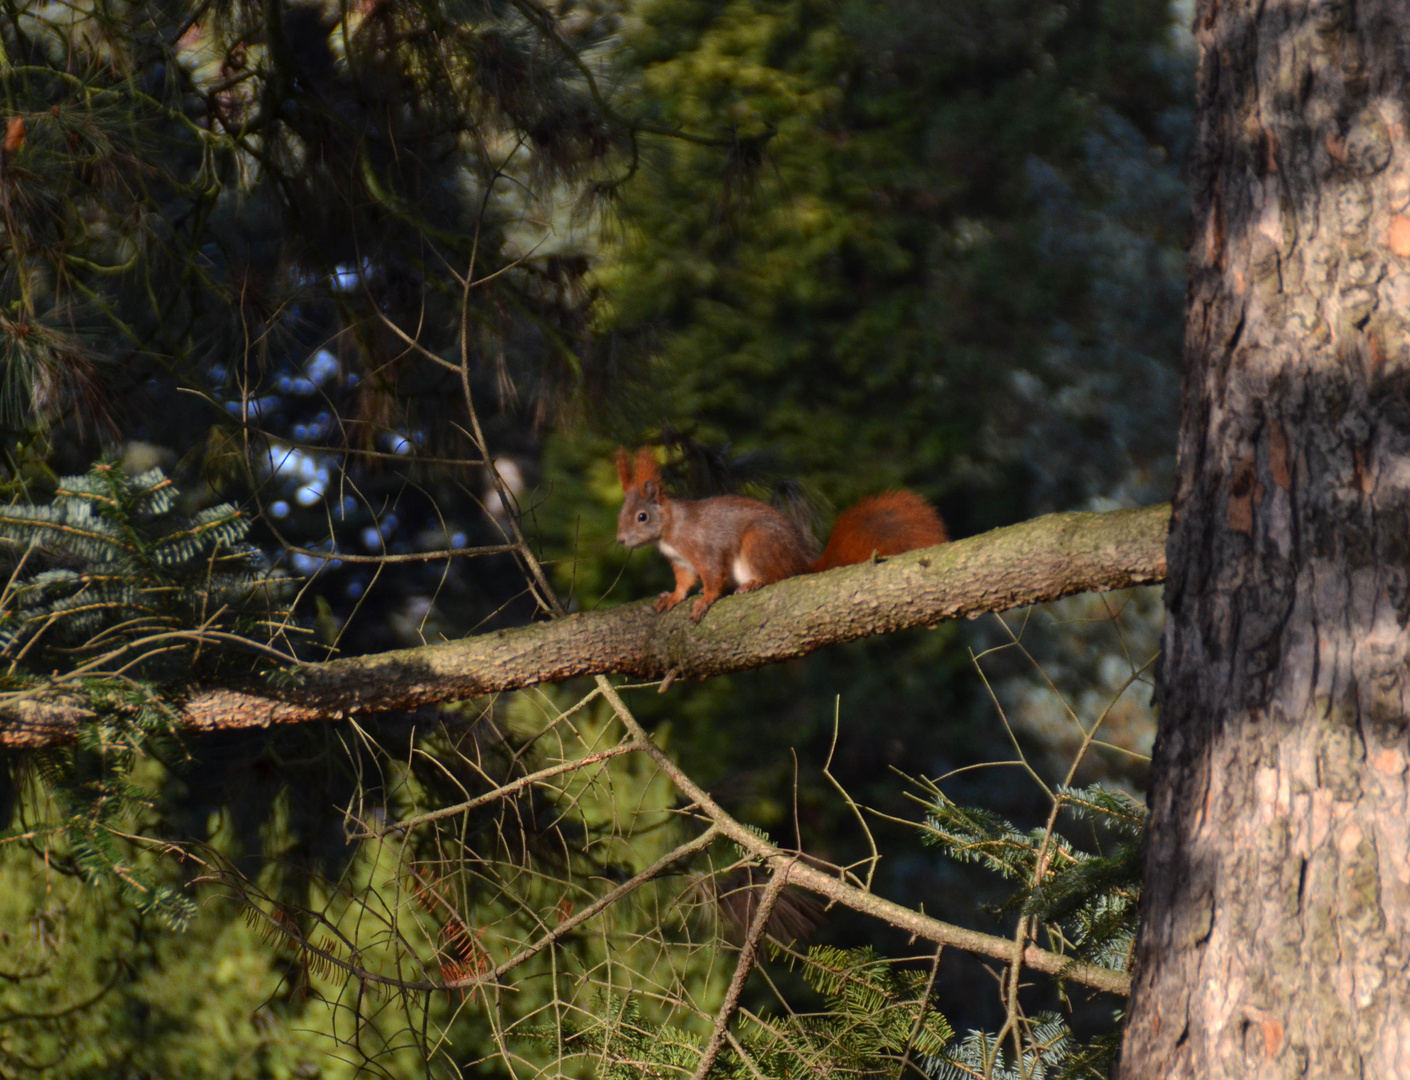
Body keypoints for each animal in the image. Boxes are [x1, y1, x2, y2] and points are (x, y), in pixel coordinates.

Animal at [614, 445, 947, 620]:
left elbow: (712, 574)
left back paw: (754, 582)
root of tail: (802, 561)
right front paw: (672, 597)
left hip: (758, 542)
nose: (620, 540)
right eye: (621, 514)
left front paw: (705, 599)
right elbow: (683, 582)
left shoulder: (705, 547)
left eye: (642, 517)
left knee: (779, 575)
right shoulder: (681, 562)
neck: (671, 530)